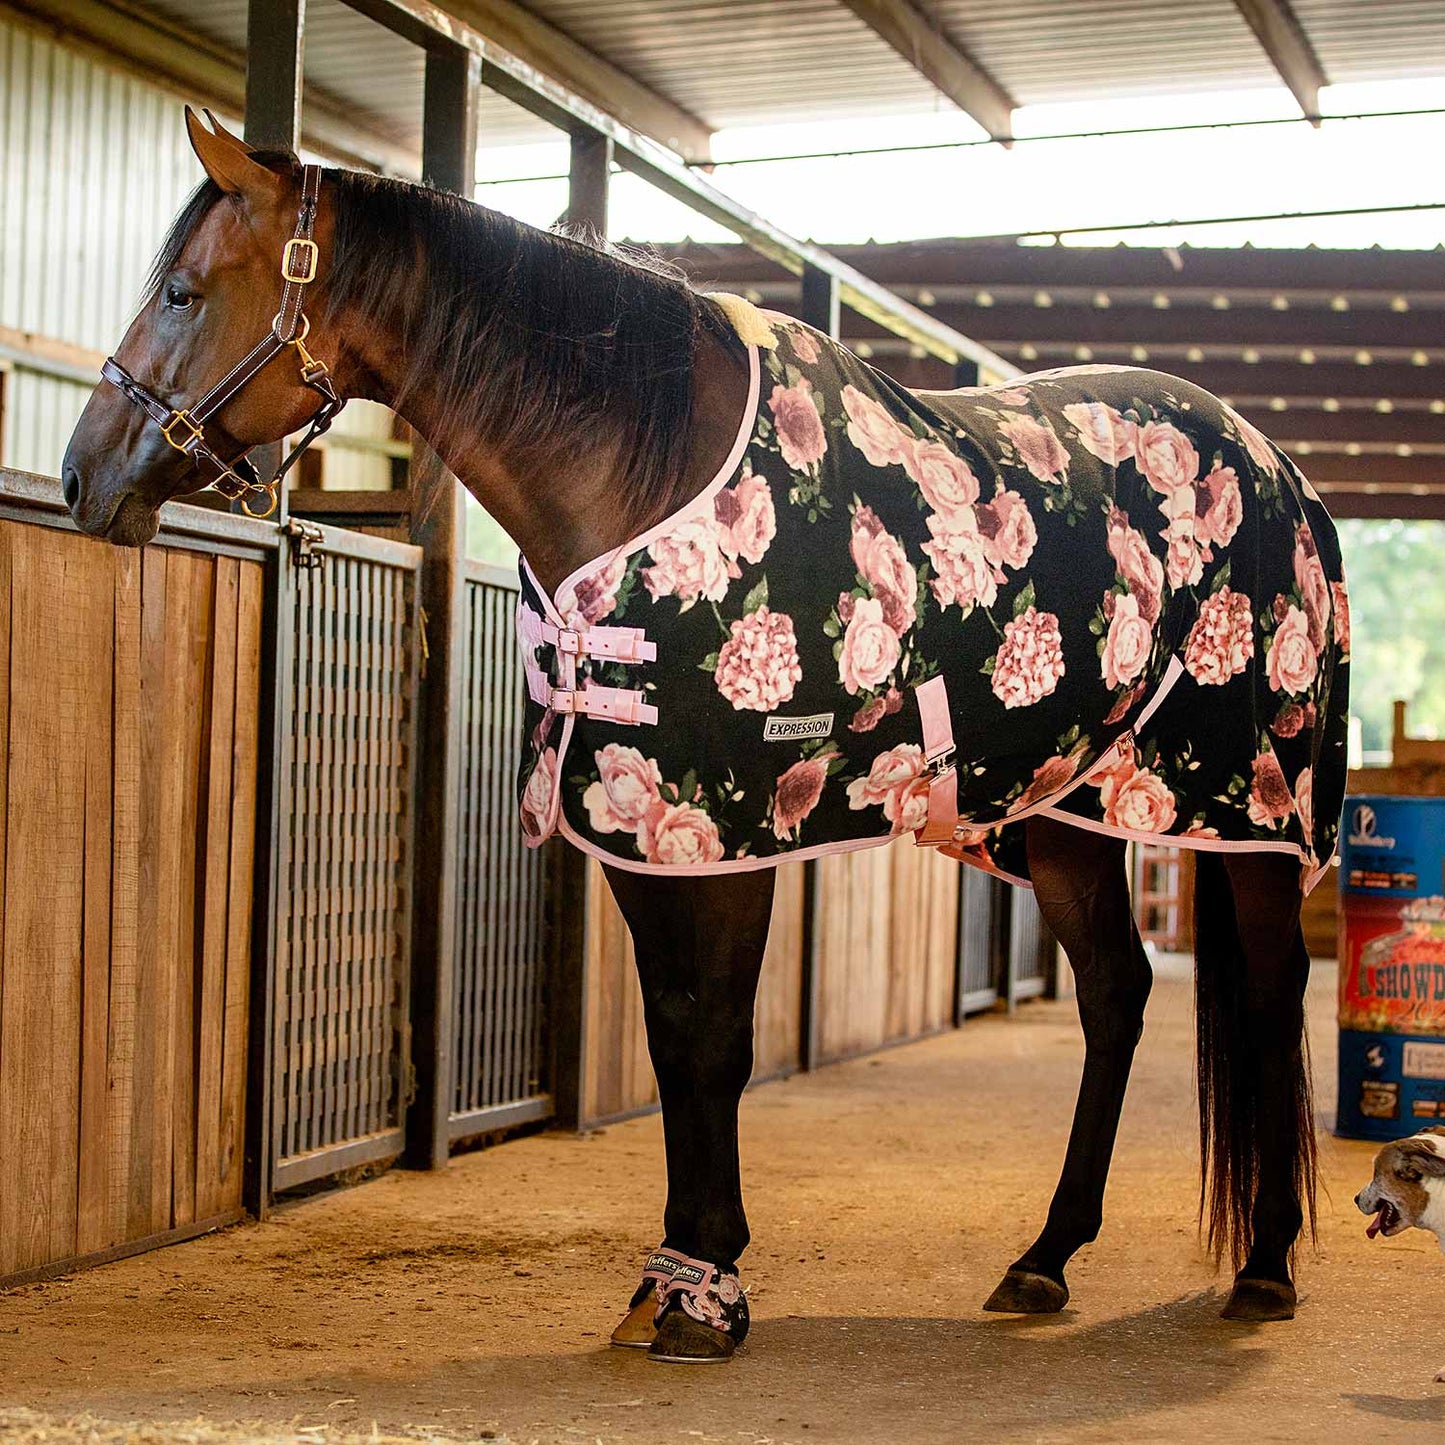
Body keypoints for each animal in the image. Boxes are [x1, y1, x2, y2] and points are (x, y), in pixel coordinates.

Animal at [62, 110, 1348, 1365]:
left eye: (182, 291)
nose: (83, 476)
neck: (647, 467)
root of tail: (1281, 473)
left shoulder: (730, 827)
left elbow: (719, 1037)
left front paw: (704, 1289)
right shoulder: (646, 832)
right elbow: (676, 1034)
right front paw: (676, 1274)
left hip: (1253, 809)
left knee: (1270, 990)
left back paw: (1266, 1264)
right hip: (1072, 807)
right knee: (1116, 994)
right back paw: (1045, 1255)